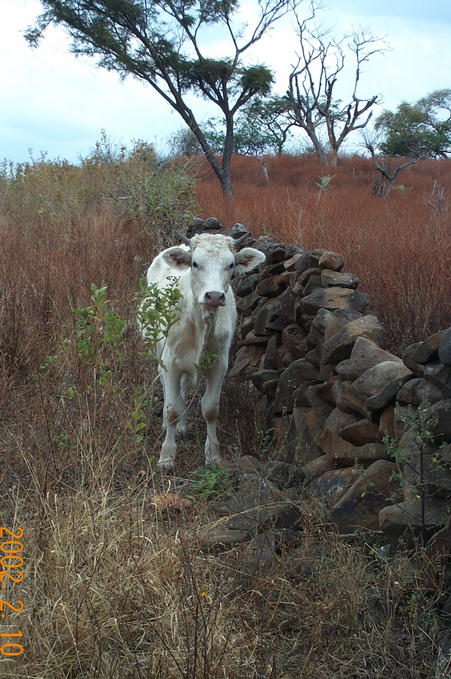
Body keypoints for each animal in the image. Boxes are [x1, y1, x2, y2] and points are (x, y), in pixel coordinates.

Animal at [143, 231, 266, 470]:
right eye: (195, 263)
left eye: (230, 264)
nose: (215, 296)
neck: (200, 323)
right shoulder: (170, 363)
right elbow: (171, 409)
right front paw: (166, 457)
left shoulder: (219, 365)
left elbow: (210, 409)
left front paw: (213, 455)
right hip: (158, 351)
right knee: (167, 390)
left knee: (182, 391)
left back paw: (182, 428)